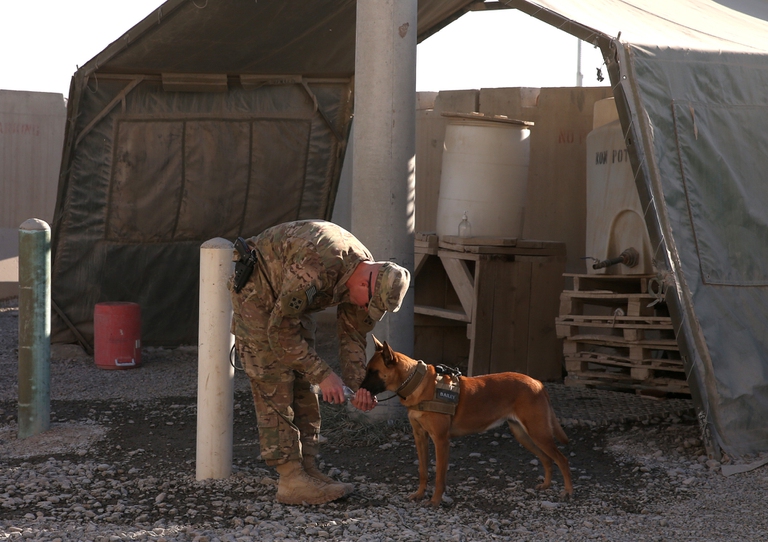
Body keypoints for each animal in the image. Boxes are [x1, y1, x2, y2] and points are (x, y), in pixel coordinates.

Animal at [358, 338, 568, 508]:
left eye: (373, 372)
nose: (358, 390)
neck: (418, 383)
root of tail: (538, 383)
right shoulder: (420, 437)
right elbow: (423, 470)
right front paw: (419, 494)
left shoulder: (441, 441)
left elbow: (439, 476)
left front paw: (435, 501)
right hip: (524, 435)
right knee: (547, 459)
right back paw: (547, 485)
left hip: (538, 434)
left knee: (561, 459)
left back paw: (568, 492)